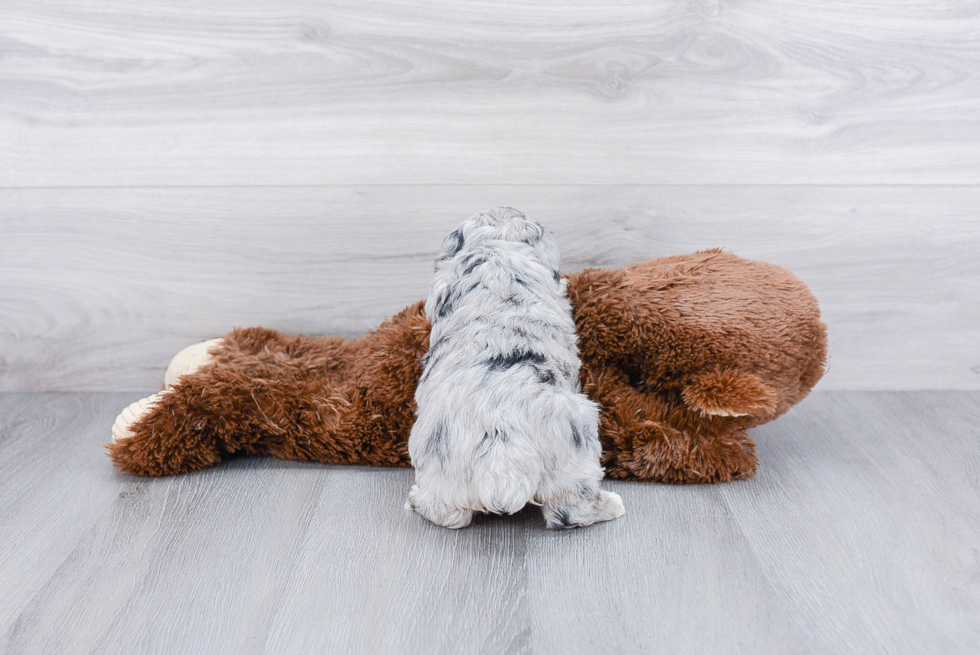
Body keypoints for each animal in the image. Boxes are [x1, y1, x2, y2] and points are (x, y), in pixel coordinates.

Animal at [408, 208, 628, 532]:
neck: (498, 254)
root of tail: (503, 443)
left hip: (439, 467)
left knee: (448, 513)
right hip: (577, 449)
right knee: (569, 510)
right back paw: (611, 506)